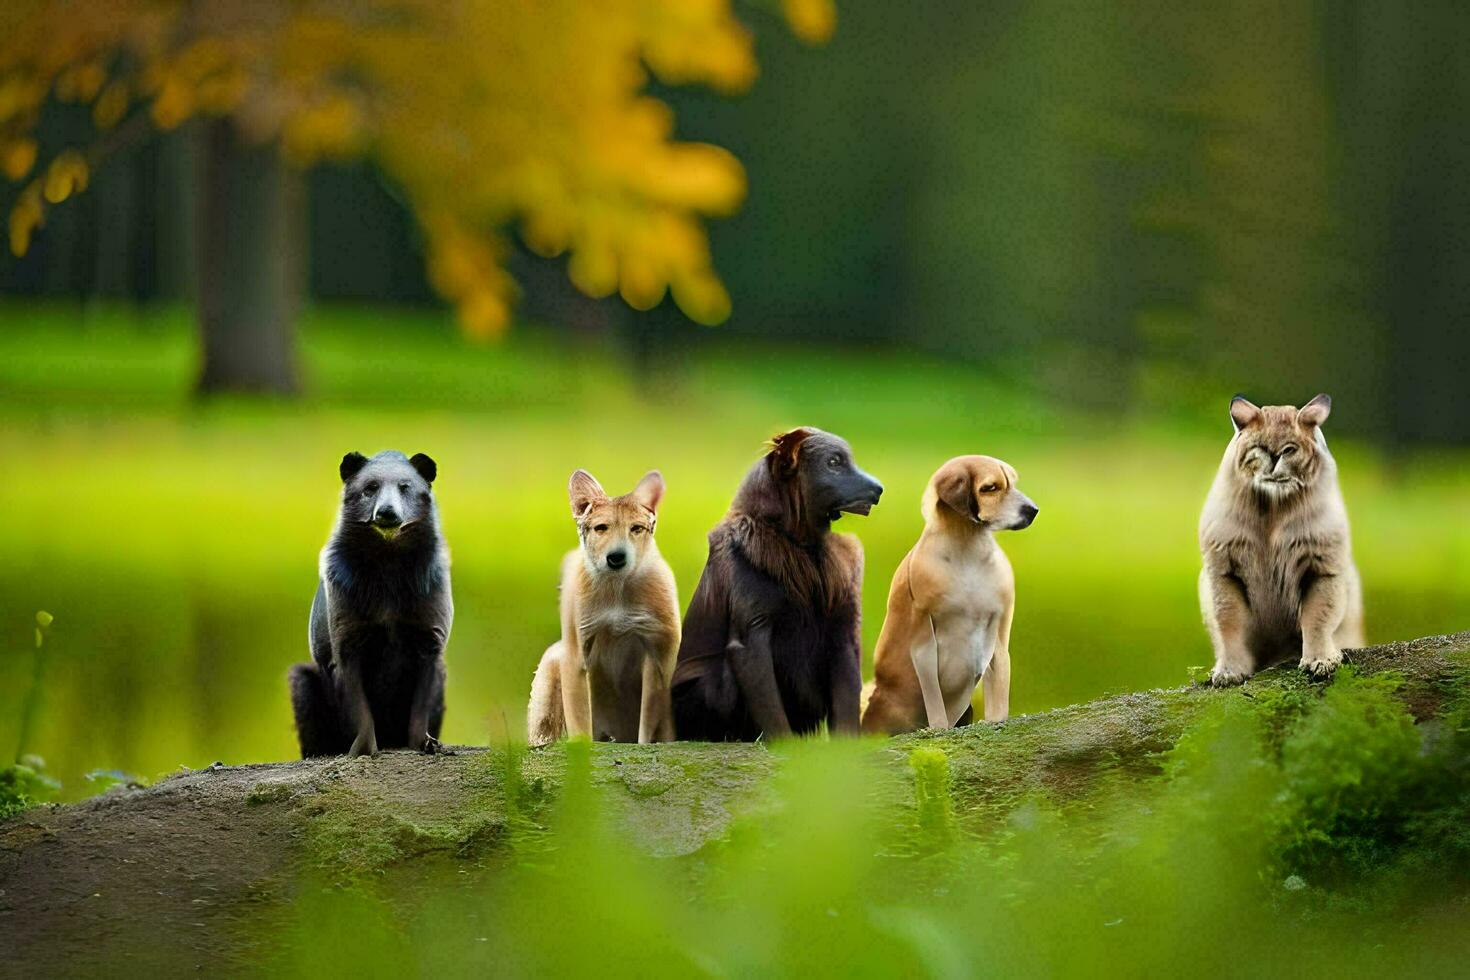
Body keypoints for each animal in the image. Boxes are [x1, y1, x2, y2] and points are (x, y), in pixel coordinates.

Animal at [285, 452, 446, 758]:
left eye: (405, 486)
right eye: (370, 487)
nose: (386, 512)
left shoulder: (429, 633)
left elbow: (421, 704)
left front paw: (426, 742)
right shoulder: (346, 633)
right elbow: (359, 706)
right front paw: (363, 748)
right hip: (303, 682)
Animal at [526, 470, 679, 746]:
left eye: (636, 528)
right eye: (601, 528)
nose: (616, 557)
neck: (616, 589)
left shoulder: (657, 655)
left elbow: (648, 724)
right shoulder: (577, 652)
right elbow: (579, 718)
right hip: (551, 666)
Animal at [858, 455, 1034, 731]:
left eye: (1013, 483)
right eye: (990, 488)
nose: (1033, 510)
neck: (967, 549)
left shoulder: (998, 634)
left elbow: (999, 688)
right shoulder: (924, 642)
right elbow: (934, 700)